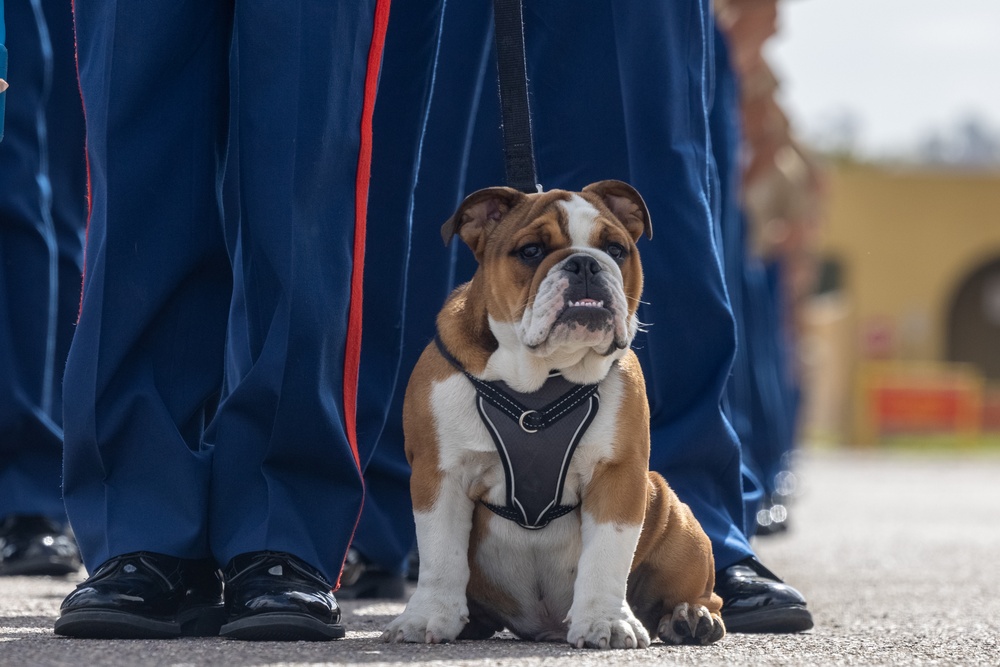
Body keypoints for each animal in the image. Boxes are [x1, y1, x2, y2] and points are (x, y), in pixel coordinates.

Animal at [384, 180, 728, 648]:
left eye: (616, 249)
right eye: (531, 251)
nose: (585, 263)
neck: (542, 376)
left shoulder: (619, 475)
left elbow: (606, 556)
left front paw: (606, 621)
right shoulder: (439, 474)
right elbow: (441, 555)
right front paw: (426, 617)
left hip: (673, 514)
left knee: (703, 594)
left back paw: (690, 615)